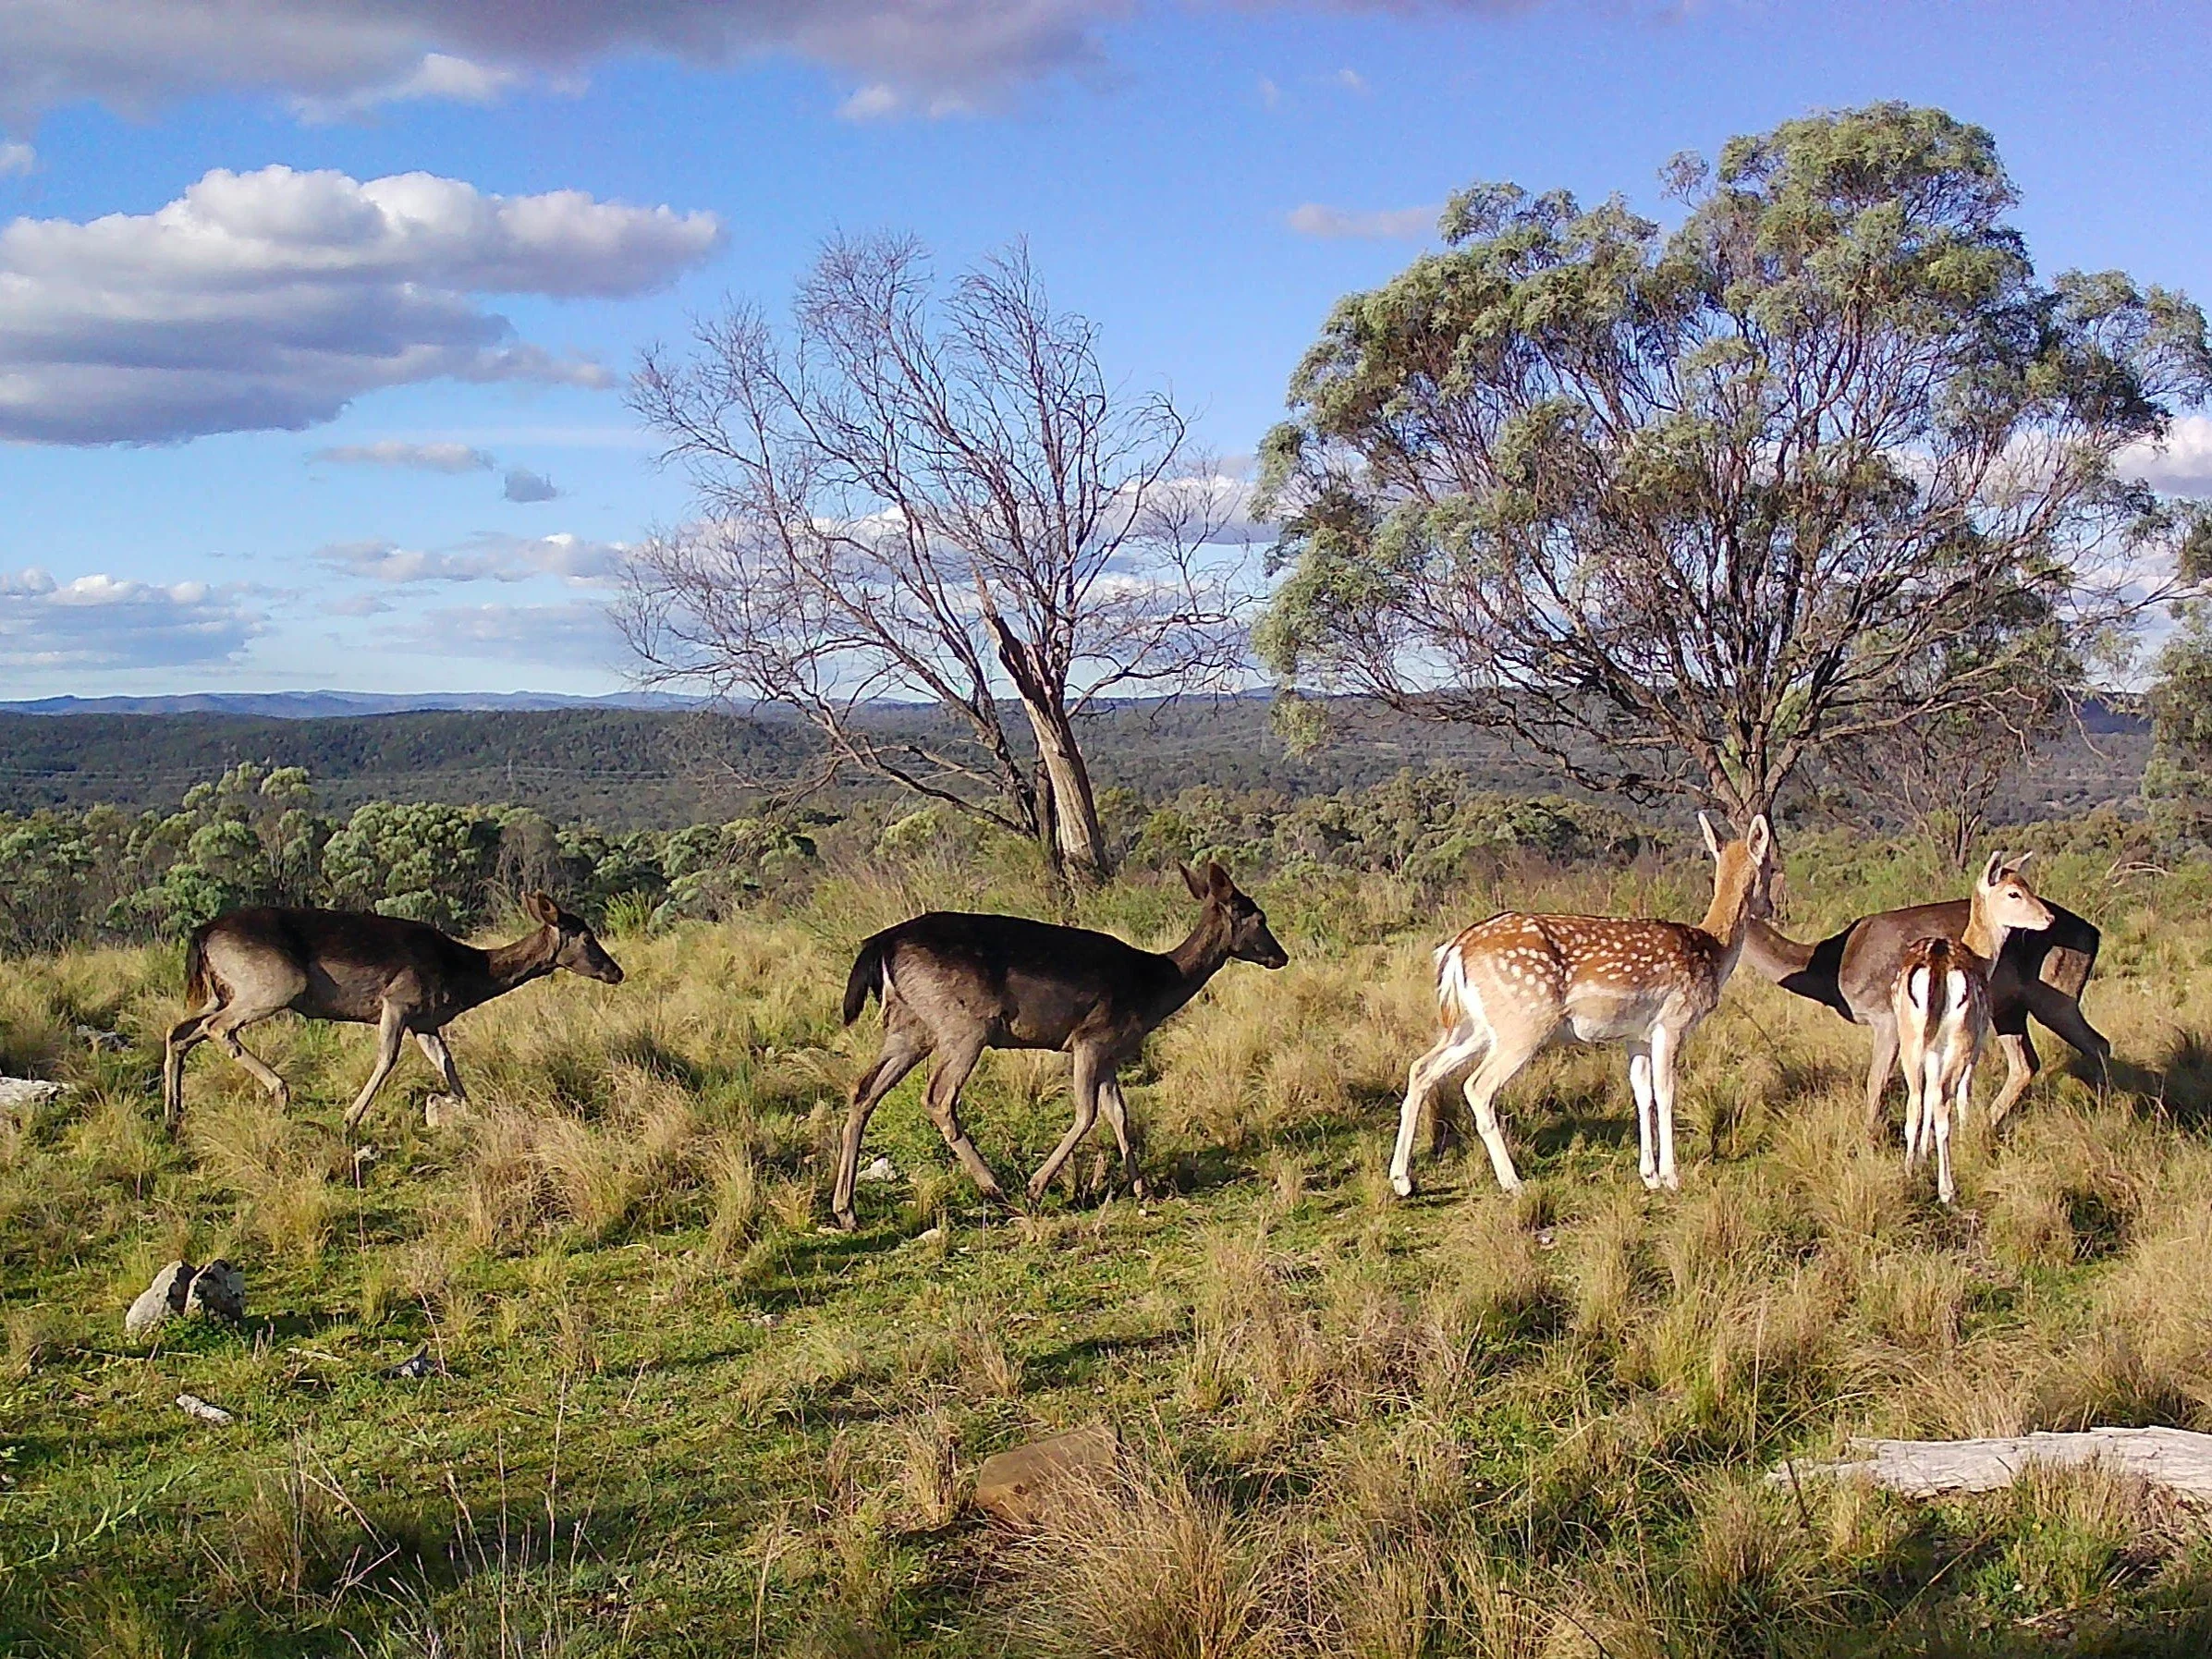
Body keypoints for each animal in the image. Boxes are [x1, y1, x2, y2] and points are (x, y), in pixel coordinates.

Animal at [162, 892, 624, 1135]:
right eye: (586, 936)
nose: (616, 971)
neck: (464, 975)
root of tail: (202, 933)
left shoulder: (425, 1021)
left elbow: (446, 1062)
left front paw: (464, 1107)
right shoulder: (398, 1001)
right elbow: (387, 1058)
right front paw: (349, 1119)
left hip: (220, 991)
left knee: (178, 1031)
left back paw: (173, 1114)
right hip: (273, 985)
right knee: (216, 1028)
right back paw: (281, 1091)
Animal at [830, 859, 1288, 1231]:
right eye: (1259, 917)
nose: (1280, 956)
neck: (1155, 987)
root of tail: (880, 945)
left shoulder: (1110, 1051)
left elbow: (1119, 1113)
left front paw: (1142, 1187)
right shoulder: (1090, 1037)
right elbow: (1087, 1112)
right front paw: (1037, 1185)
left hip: (910, 1026)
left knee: (864, 1090)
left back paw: (846, 1211)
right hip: (964, 1024)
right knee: (938, 1097)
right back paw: (998, 1190)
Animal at [1389, 812, 1775, 1200]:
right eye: (1771, 866)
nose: (1770, 907)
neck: (1713, 951)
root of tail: (1456, 949)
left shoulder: (1636, 1034)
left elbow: (1642, 1093)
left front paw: (1648, 1175)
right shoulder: (1673, 1021)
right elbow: (1666, 1092)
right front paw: (1670, 1177)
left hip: (1473, 1025)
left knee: (1421, 1069)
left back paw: (1402, 1179)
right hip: (1524, 1020)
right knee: (1478, 1086)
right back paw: (1513, 1182)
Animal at [1740, 862, 2105, 1135]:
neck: (1834, 970)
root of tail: (2095, 935)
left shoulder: (1886, 1016)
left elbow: (1877, 1081)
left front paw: (1868, 1140)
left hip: (2055, 997)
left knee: (2097, 1043)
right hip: (2008, 1008)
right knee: (2027, 1063)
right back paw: (1984, 1126)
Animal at [1892, 853, 2056, 1204]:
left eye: (2027, 885)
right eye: (2014, 893)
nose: (2049, 918)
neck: (1982, 957)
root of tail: (1938, 965)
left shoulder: (1932, 1049)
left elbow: (1927, 1097)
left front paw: (1922, 1155)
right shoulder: (1978, 1041)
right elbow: (1964, 1092)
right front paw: (1965, 1140)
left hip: (1910, 1035)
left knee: (1916, 1099)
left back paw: (1908, 1173)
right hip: (1962, 1036)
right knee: (1944, 1100)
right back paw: (1947, 1190)